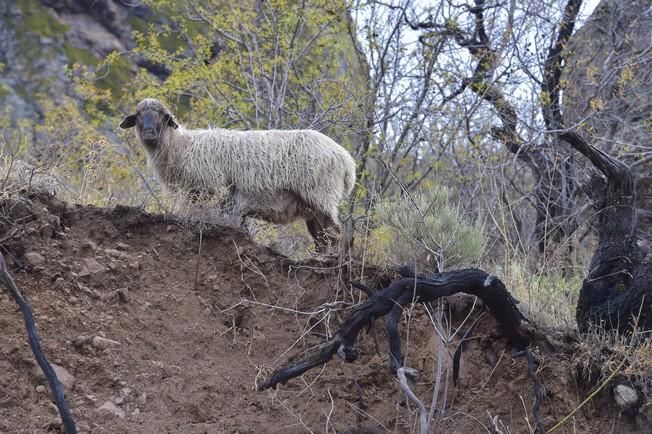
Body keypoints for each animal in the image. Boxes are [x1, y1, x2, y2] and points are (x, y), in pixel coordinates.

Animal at [121, 99, 356, 253]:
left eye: (162, 115)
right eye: (139, 115)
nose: (149, 133)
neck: (182, 146)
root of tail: (347, 161)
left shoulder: (213, 193)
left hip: (322, 196)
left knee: (337, 234)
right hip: (313, 207)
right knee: (323, 237)